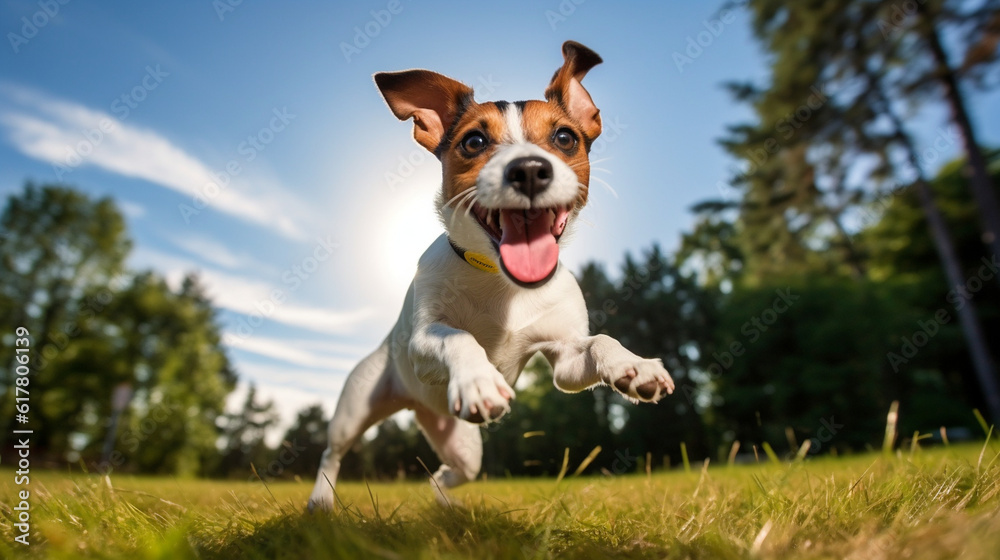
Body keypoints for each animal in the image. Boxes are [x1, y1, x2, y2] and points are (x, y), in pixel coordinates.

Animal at [308, 41, 676, 510]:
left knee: (446, 473)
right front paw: (480, 380)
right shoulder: (424, 341)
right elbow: (459, 337)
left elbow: (599, 342)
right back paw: (321, 500)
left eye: (564, 137)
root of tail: (415, 406)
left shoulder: (566, 362)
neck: (504, 285)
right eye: (474, 141)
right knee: (331, 453)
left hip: (465, 448)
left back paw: (445, 508)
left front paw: (634, 364)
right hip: (355, 406)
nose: (530, 169)